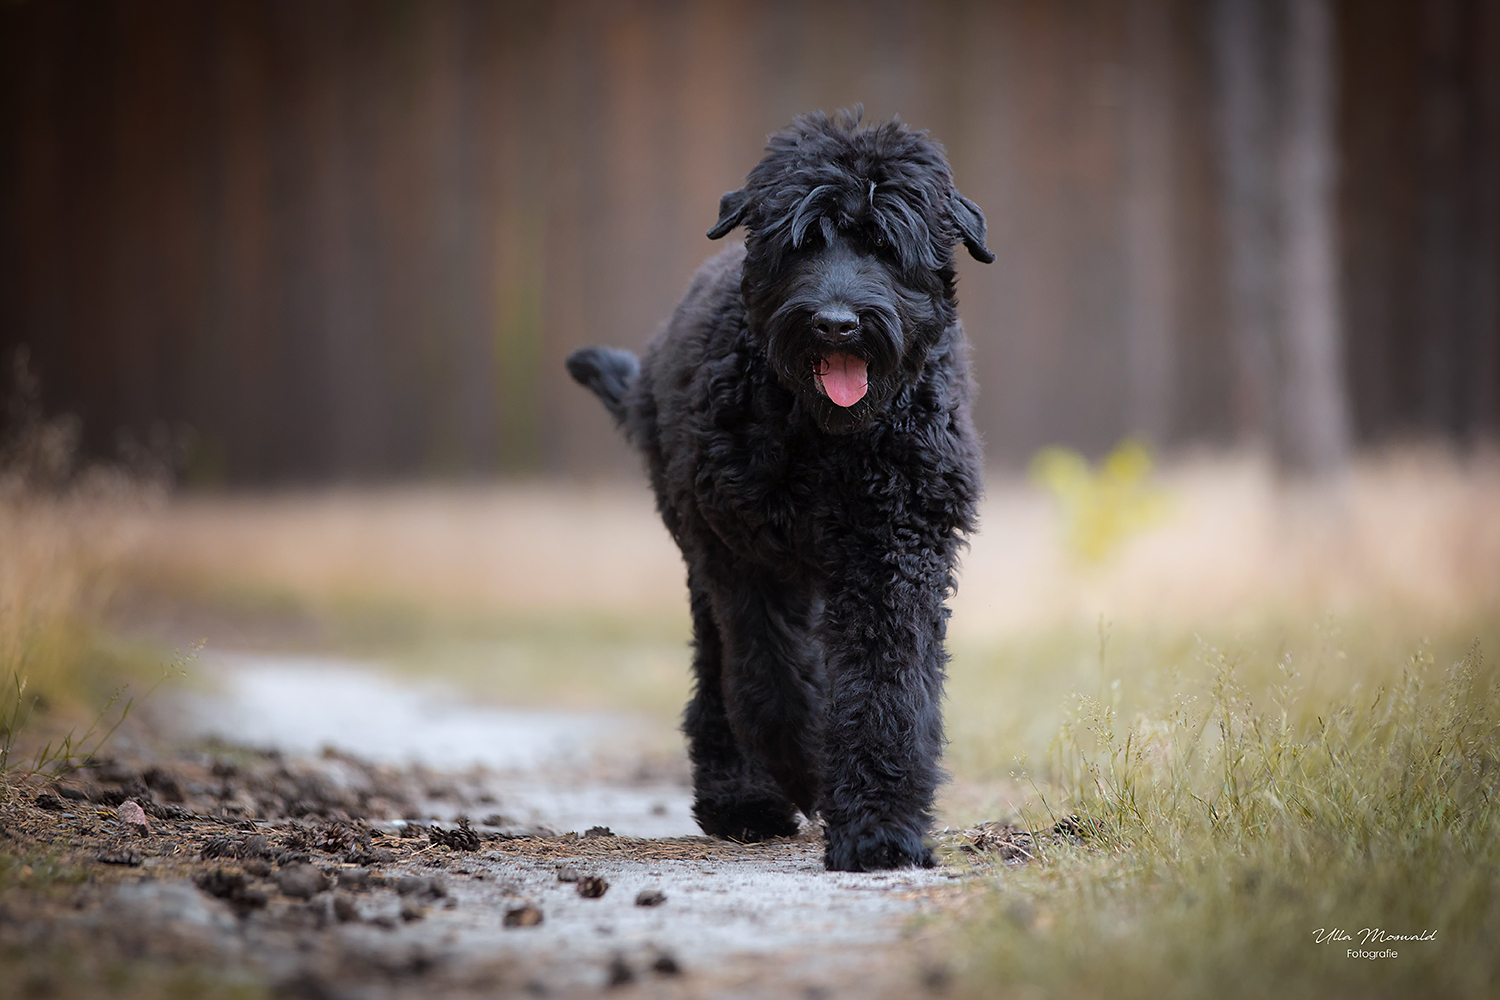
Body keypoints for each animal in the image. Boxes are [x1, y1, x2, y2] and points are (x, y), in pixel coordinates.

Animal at [567, 109, 990, 869]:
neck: (828, 438)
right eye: (802, 242)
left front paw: (880, 829)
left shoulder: (894, 554)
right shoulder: (747, 558)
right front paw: (808, 769)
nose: (837, 322)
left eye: (886, 244)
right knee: (720, 673)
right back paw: (742, 797)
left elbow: (887, 687)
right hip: (705, 552)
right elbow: (770, 682)